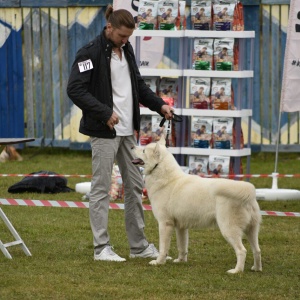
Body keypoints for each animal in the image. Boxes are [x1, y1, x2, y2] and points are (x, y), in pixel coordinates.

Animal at [132, 137, 262, 274]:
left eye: (144, 150)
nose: (132, 146)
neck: (166, 178)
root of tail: (248, 192)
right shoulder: (181, 227)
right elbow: (182, 247)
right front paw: (181, 261)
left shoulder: (165, 224)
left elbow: (163, 248)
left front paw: (158, 262)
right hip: (251, 230)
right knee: (257, 250)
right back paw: (256, 269)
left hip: (229, 229)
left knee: (242, 251)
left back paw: (236, 271)